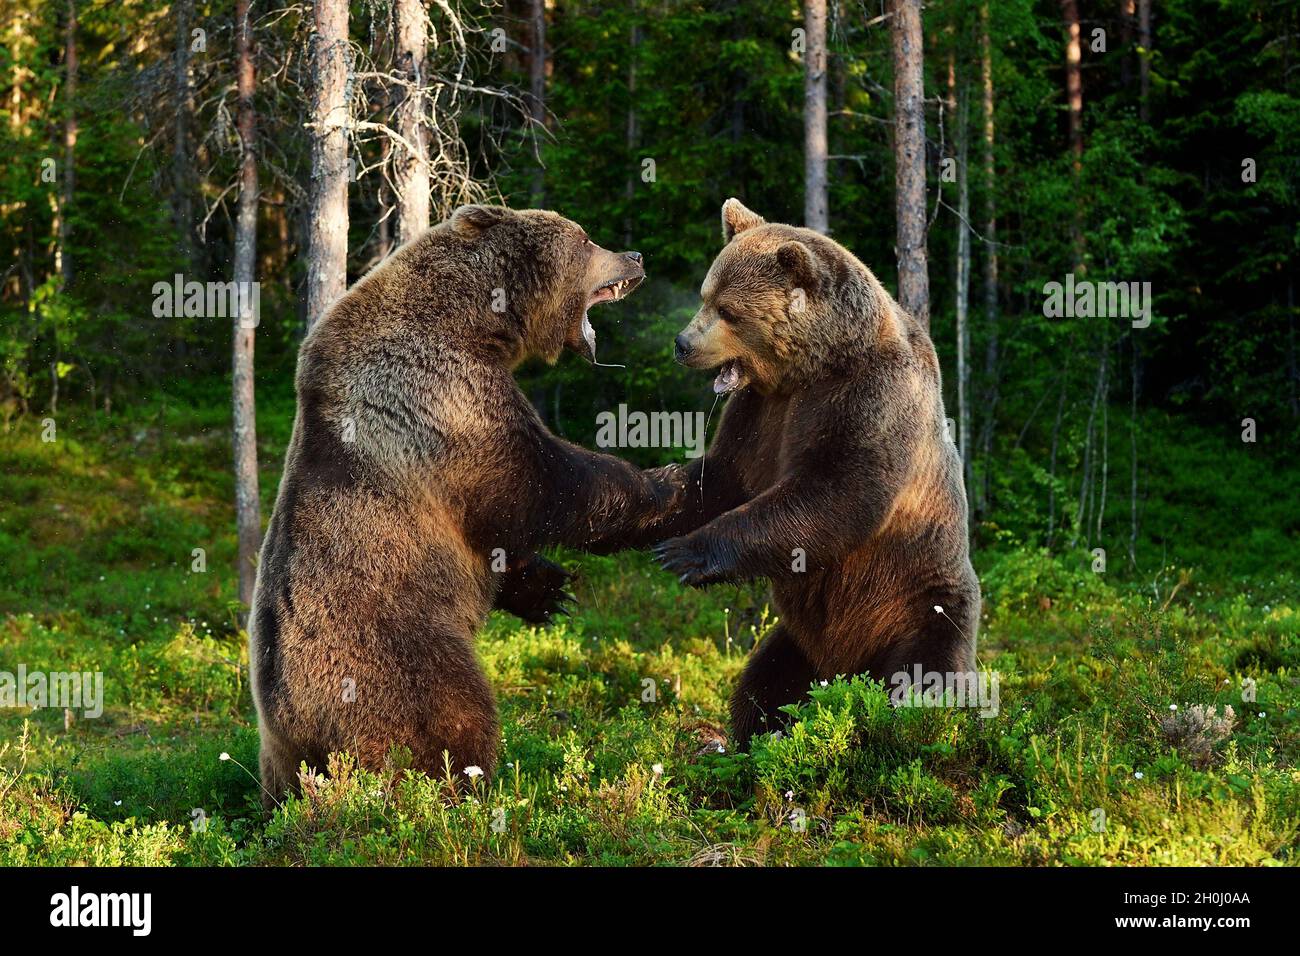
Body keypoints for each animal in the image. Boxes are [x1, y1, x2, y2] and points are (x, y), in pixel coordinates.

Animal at [246, 205, 686, 806]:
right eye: (585, 239)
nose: (636, 256)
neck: (475, 323)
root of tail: (296, 723)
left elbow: (505, 534)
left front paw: (549, 590)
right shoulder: (441, 398)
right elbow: (539, 483)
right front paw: (666, 482)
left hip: (281, 758)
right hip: (395, 654)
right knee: (452, 716)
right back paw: (469, 788)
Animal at [647, 196, 977, 749]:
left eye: (728, 311)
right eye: (705, 296)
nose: (682, 343)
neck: (814, 366)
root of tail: (846, 666)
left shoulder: (870, 397)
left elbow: (838, 492)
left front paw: (685, 552)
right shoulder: (761, 412)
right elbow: (723, 478)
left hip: (920, 604)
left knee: (924, 679)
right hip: (800, 640)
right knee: (766, 681)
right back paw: (754, 738)